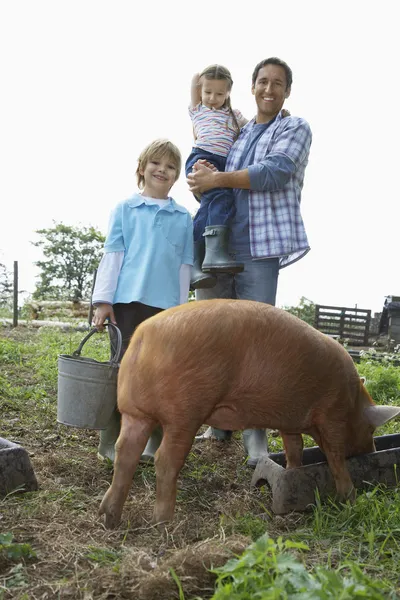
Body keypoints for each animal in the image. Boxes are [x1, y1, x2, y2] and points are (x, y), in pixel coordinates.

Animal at [97, 298, 400, 528]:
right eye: (371, 428)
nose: (372, 449)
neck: (352, 401)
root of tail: (143, 336)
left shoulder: (290, 421)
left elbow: (295, 448)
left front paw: (294, 472)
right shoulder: (332, 416)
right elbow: (335, 456)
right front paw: (350, 498)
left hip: (134, 412)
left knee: (125, 453)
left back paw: (108, 517)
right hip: (185, 412)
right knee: (165, 460)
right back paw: (164, 523)